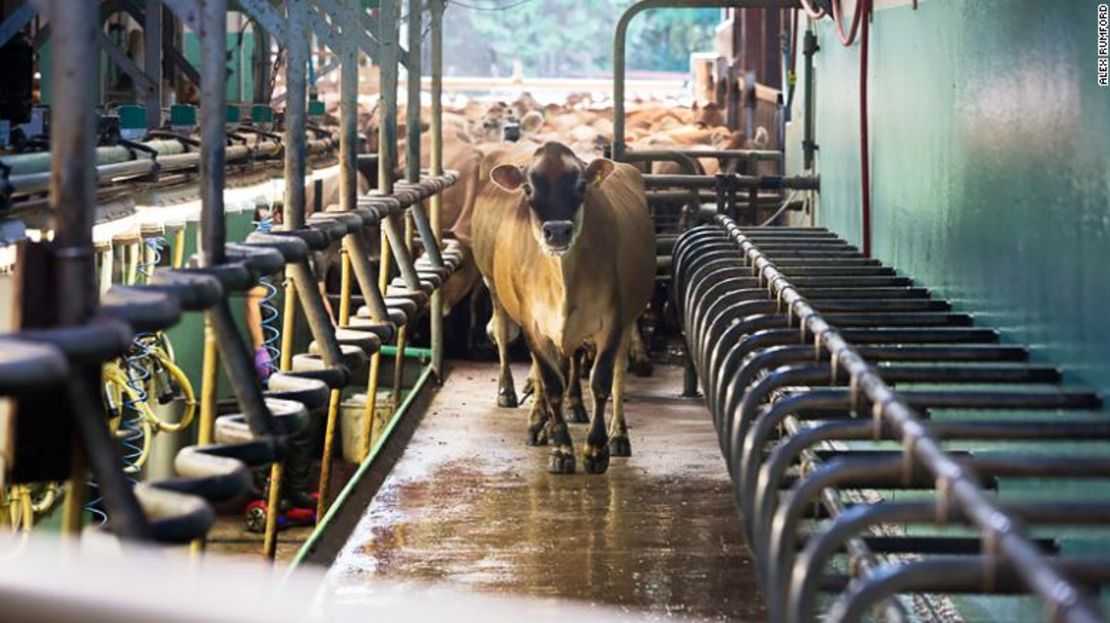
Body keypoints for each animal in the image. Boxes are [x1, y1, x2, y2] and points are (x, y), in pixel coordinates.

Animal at [472, 139, 652, 470]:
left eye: (581, 186)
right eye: (528, 189)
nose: (557, 231)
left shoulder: (612, 321)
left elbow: (602, 381)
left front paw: (596, 449)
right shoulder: (533, 323)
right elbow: (552, 382)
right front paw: (561, 449)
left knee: (618, 373)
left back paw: (617, 434)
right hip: (495, 286)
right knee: (505, 335)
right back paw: (518, 403)